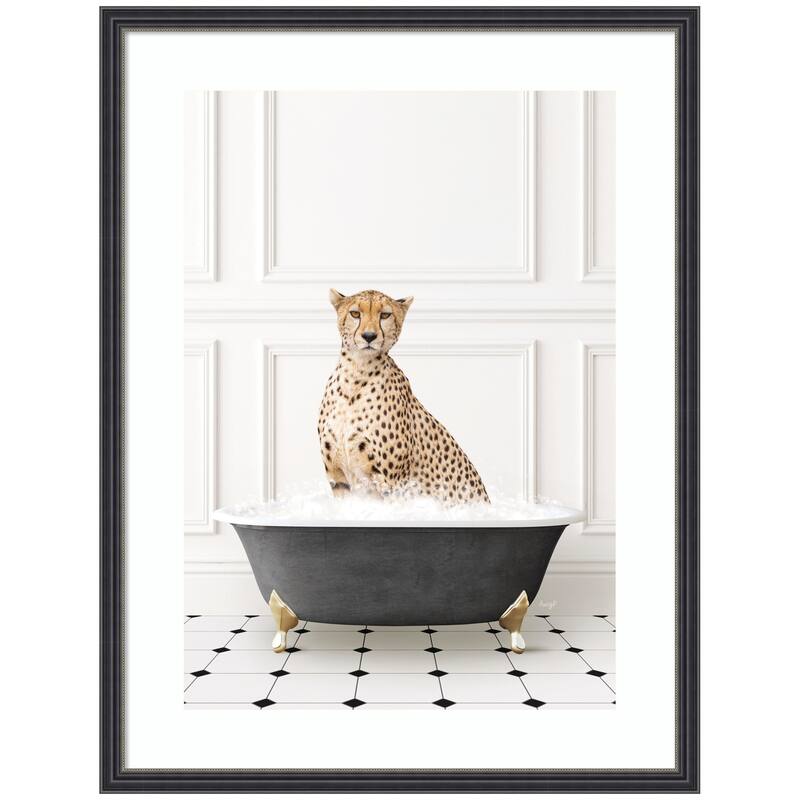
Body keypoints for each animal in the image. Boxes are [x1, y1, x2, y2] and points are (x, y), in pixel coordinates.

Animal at [317, 288, 490, 505]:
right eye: (355, 313)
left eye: (385, 315)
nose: (369, 336)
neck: (356, 373)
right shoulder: (338, 478)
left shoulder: (391, 484)